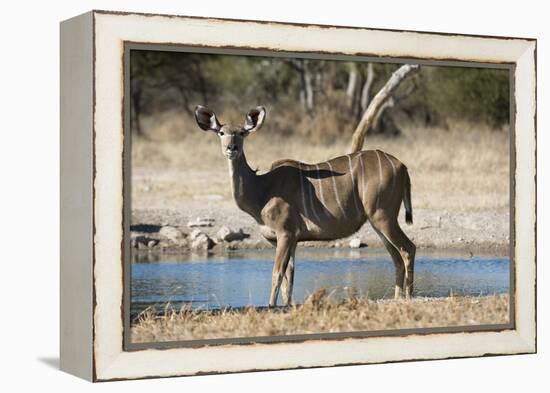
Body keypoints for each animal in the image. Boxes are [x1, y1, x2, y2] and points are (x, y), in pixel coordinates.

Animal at [196, 105, 416, 306]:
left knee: (408, 249)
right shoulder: (289, 239)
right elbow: (289, 279)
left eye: (241, 133)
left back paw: (408, 297)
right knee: (396, 257)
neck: (263, 189)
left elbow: (277, 274)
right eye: (221, 132)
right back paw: (397, 298)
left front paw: (271, 307)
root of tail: (402, 166)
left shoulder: (285, 234)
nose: (231, 148)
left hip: (383, 216)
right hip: (377, 222)